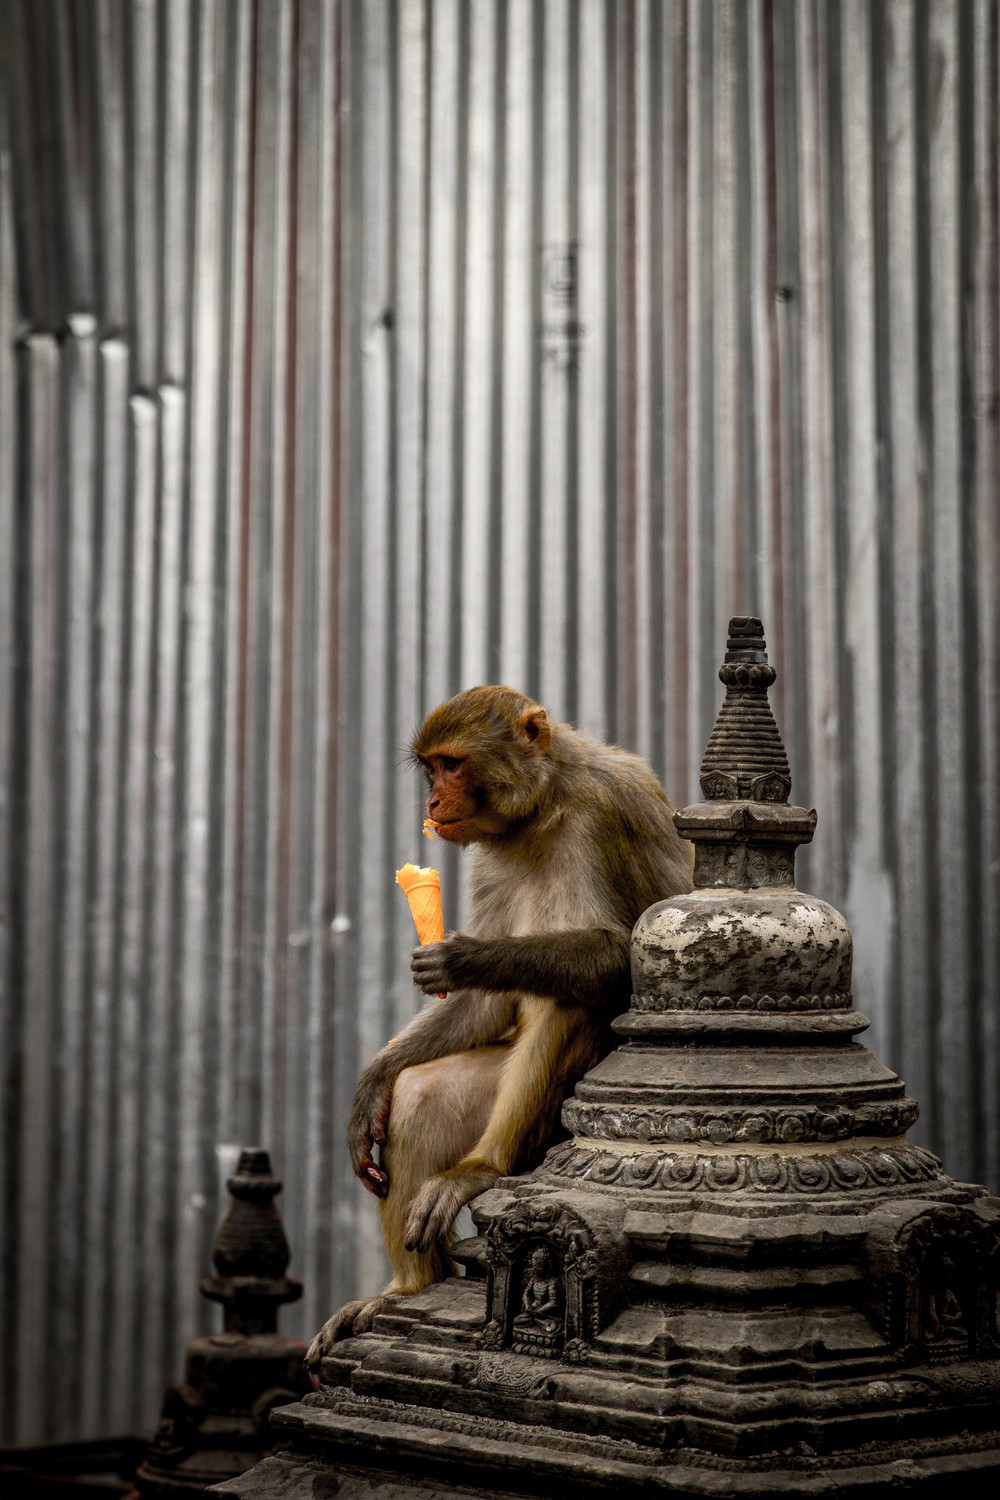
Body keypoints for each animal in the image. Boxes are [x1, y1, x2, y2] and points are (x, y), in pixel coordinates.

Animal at [305, 685, 692, 1366]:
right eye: (431, 768)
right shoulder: (490, 853)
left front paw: (467, 957)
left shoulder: (601, 816)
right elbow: (482, 1011)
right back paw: (407, 1292)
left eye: (452, 765)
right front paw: (373, 1081)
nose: (432, 802)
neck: (540, 807)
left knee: (572, 999)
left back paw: (482, 1170)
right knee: (421, 1091)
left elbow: (619, 956)